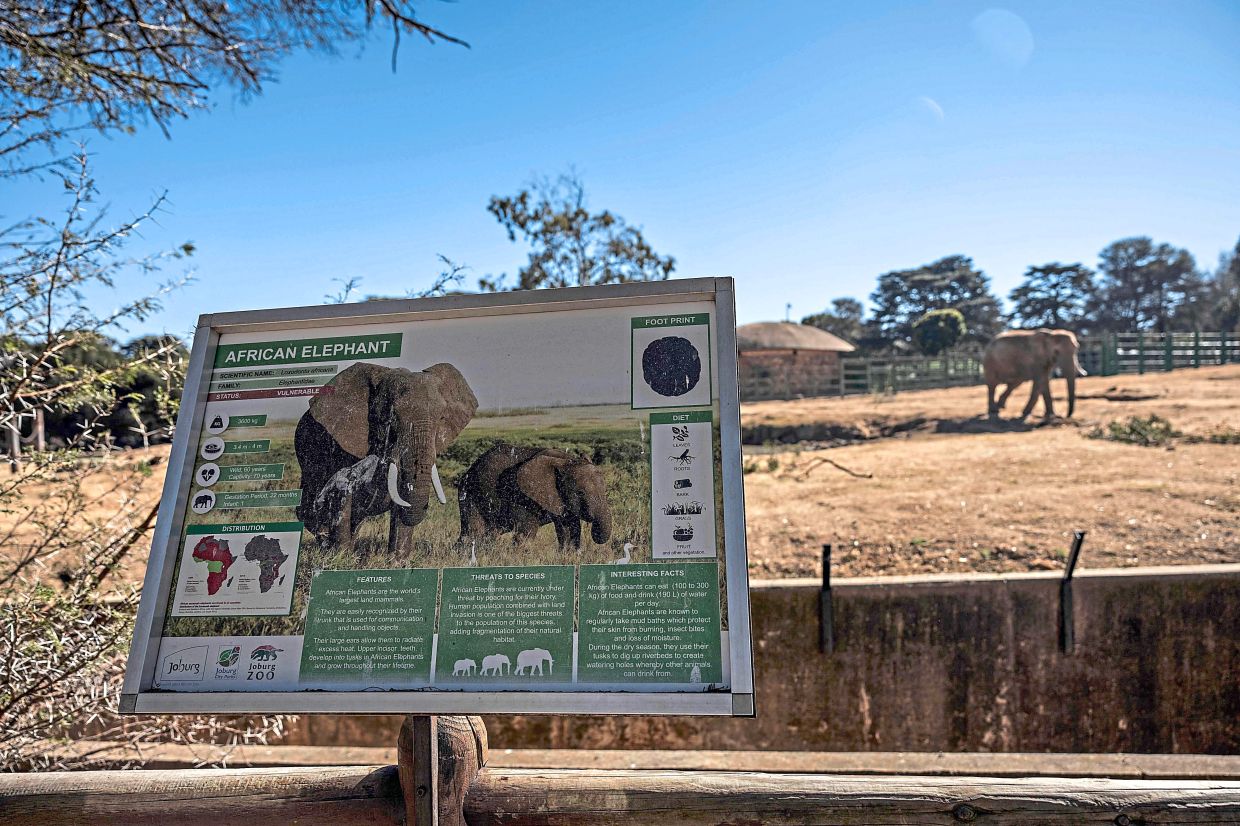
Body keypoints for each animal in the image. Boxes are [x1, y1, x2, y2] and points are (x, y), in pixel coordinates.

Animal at [294, 362, 478, 557]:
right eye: (391, 418)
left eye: (442, 418)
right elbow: (343, 493)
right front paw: (342, 558)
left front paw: (398, 561)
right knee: (311, 512)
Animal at [457, 444, 613, 554]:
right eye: (580, 493)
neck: (564, 461)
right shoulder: (519, 493)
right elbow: (525, 534)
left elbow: (570, 528)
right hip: (470, 492)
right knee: (473, 533)